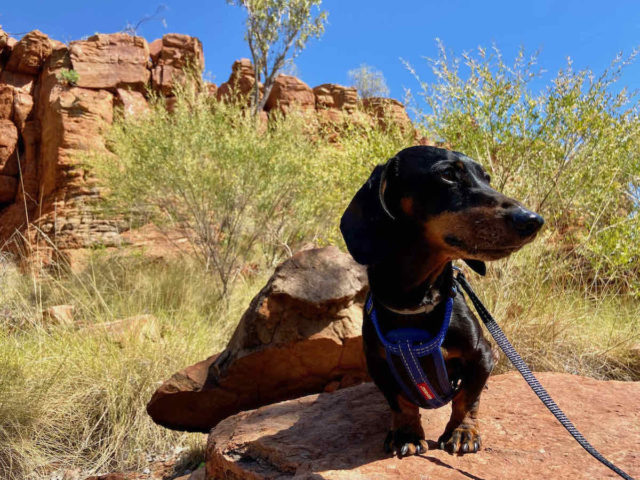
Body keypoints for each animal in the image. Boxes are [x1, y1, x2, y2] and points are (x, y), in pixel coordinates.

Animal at [342, 145, 544, 458]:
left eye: (487, 178)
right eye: (448, 174)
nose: (533, 220)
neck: (417, 303)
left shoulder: (483, 354)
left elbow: (467, 398)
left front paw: (462, 432)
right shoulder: (378, 365)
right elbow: (400, 401)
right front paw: (406, 433)